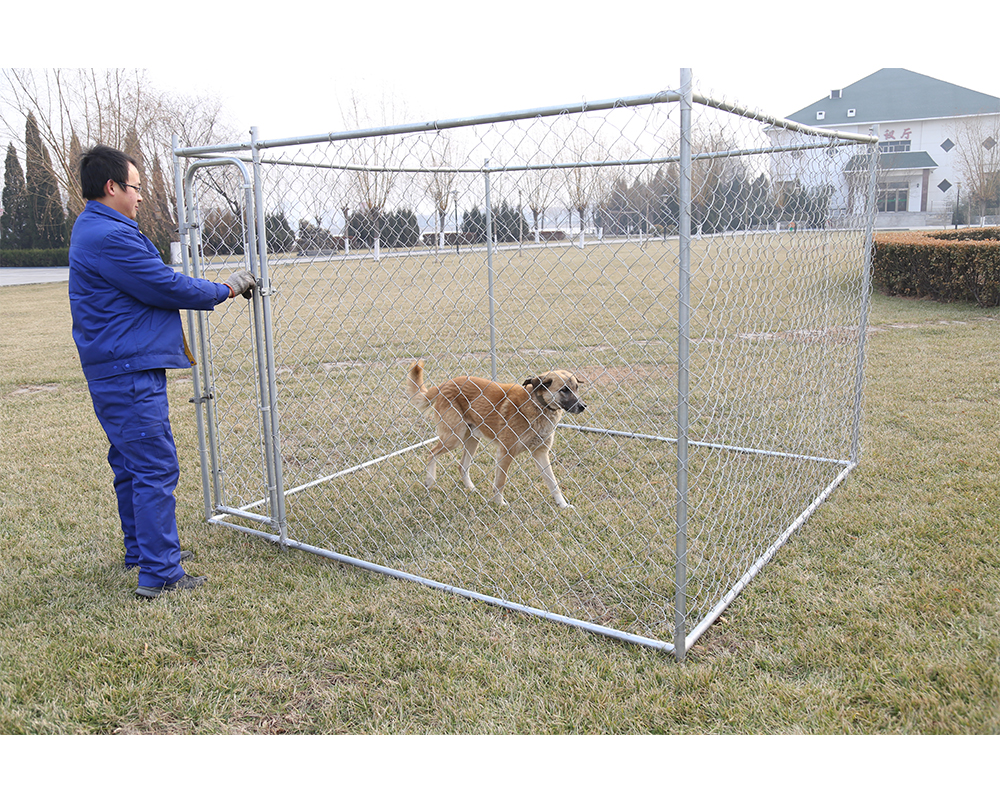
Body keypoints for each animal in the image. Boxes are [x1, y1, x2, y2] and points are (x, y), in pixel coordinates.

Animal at [406, 360, 584, 510]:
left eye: (576, 388)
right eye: (564, 390)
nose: (583, 406)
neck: (538, 406)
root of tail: (447, 383)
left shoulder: (541, 453)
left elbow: (554, 484)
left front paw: (562, 505)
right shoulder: (505, 453)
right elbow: (500, 482)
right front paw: (499, 503)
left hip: (472, 440)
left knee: (462, 466)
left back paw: (470, 488)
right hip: (453, 438)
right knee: (431, 453)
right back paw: (430, 480)